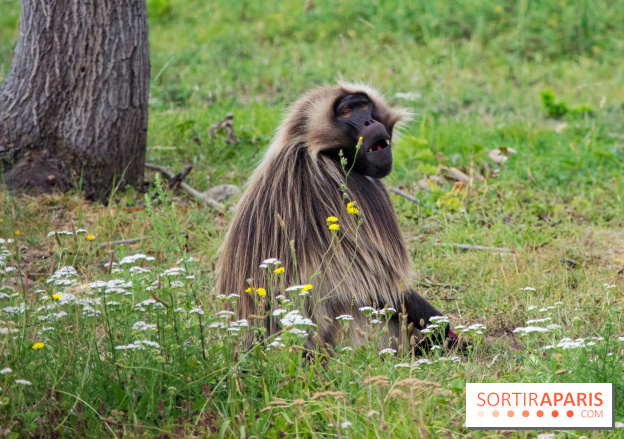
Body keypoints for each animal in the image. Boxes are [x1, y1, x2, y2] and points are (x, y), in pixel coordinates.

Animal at [215, 82, 462, 352]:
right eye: (346, 112)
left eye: (363, 105)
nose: (369, 122)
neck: (316, 149)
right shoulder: (348, 191)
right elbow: (379, 286)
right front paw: (441, 328)